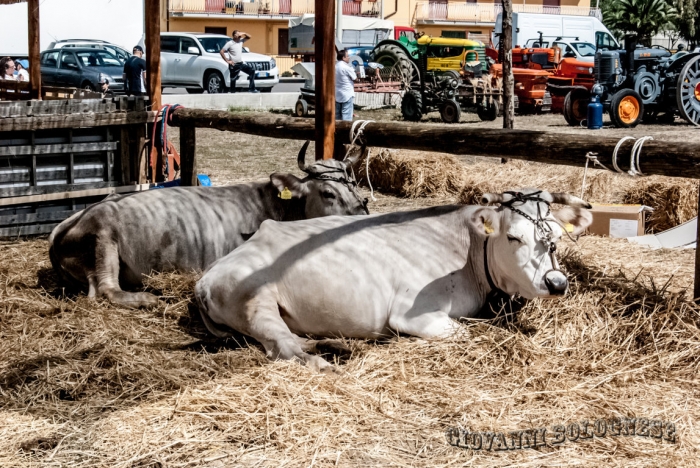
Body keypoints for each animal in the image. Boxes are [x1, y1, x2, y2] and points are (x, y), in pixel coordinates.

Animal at [196, 187, 592, 372]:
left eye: (555, 236)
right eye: (513, 237)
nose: (556, 283)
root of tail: (205, 277)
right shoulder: (411, 312)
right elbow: (465, 331)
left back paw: (336, 345)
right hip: (255, 301)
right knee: (284, 347)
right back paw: (327, 362)